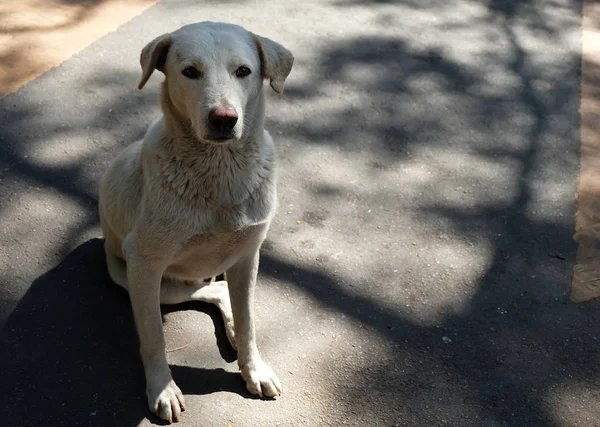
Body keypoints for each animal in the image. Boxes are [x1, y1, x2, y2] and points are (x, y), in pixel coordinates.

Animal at [98, 22, 292, 424]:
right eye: (189, 72)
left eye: (243, 71)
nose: (223, 119)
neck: (219, 171)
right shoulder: (144, 265)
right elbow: (154, 336)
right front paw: (162, 389)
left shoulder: (248, 258)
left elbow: (249, 322)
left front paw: (254, 369)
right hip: (140, 280)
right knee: (209, 292)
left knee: (221, 293)